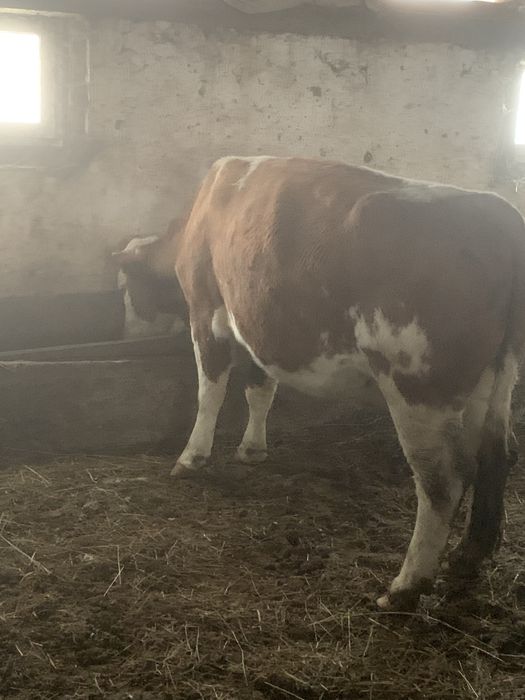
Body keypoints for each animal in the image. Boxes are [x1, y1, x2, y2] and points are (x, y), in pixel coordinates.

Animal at [114, 156, 525, 609]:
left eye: (126, 288)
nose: (122, 335)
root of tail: (501, 216)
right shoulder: (253, 322)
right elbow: (260, 390)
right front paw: (252, 449)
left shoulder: (207, 311)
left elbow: (210, 392)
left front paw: (192, 458)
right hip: (493, 377)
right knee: (496, 454)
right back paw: (469, 556)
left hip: (418, 384)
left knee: (443, 480)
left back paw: (404, 589)